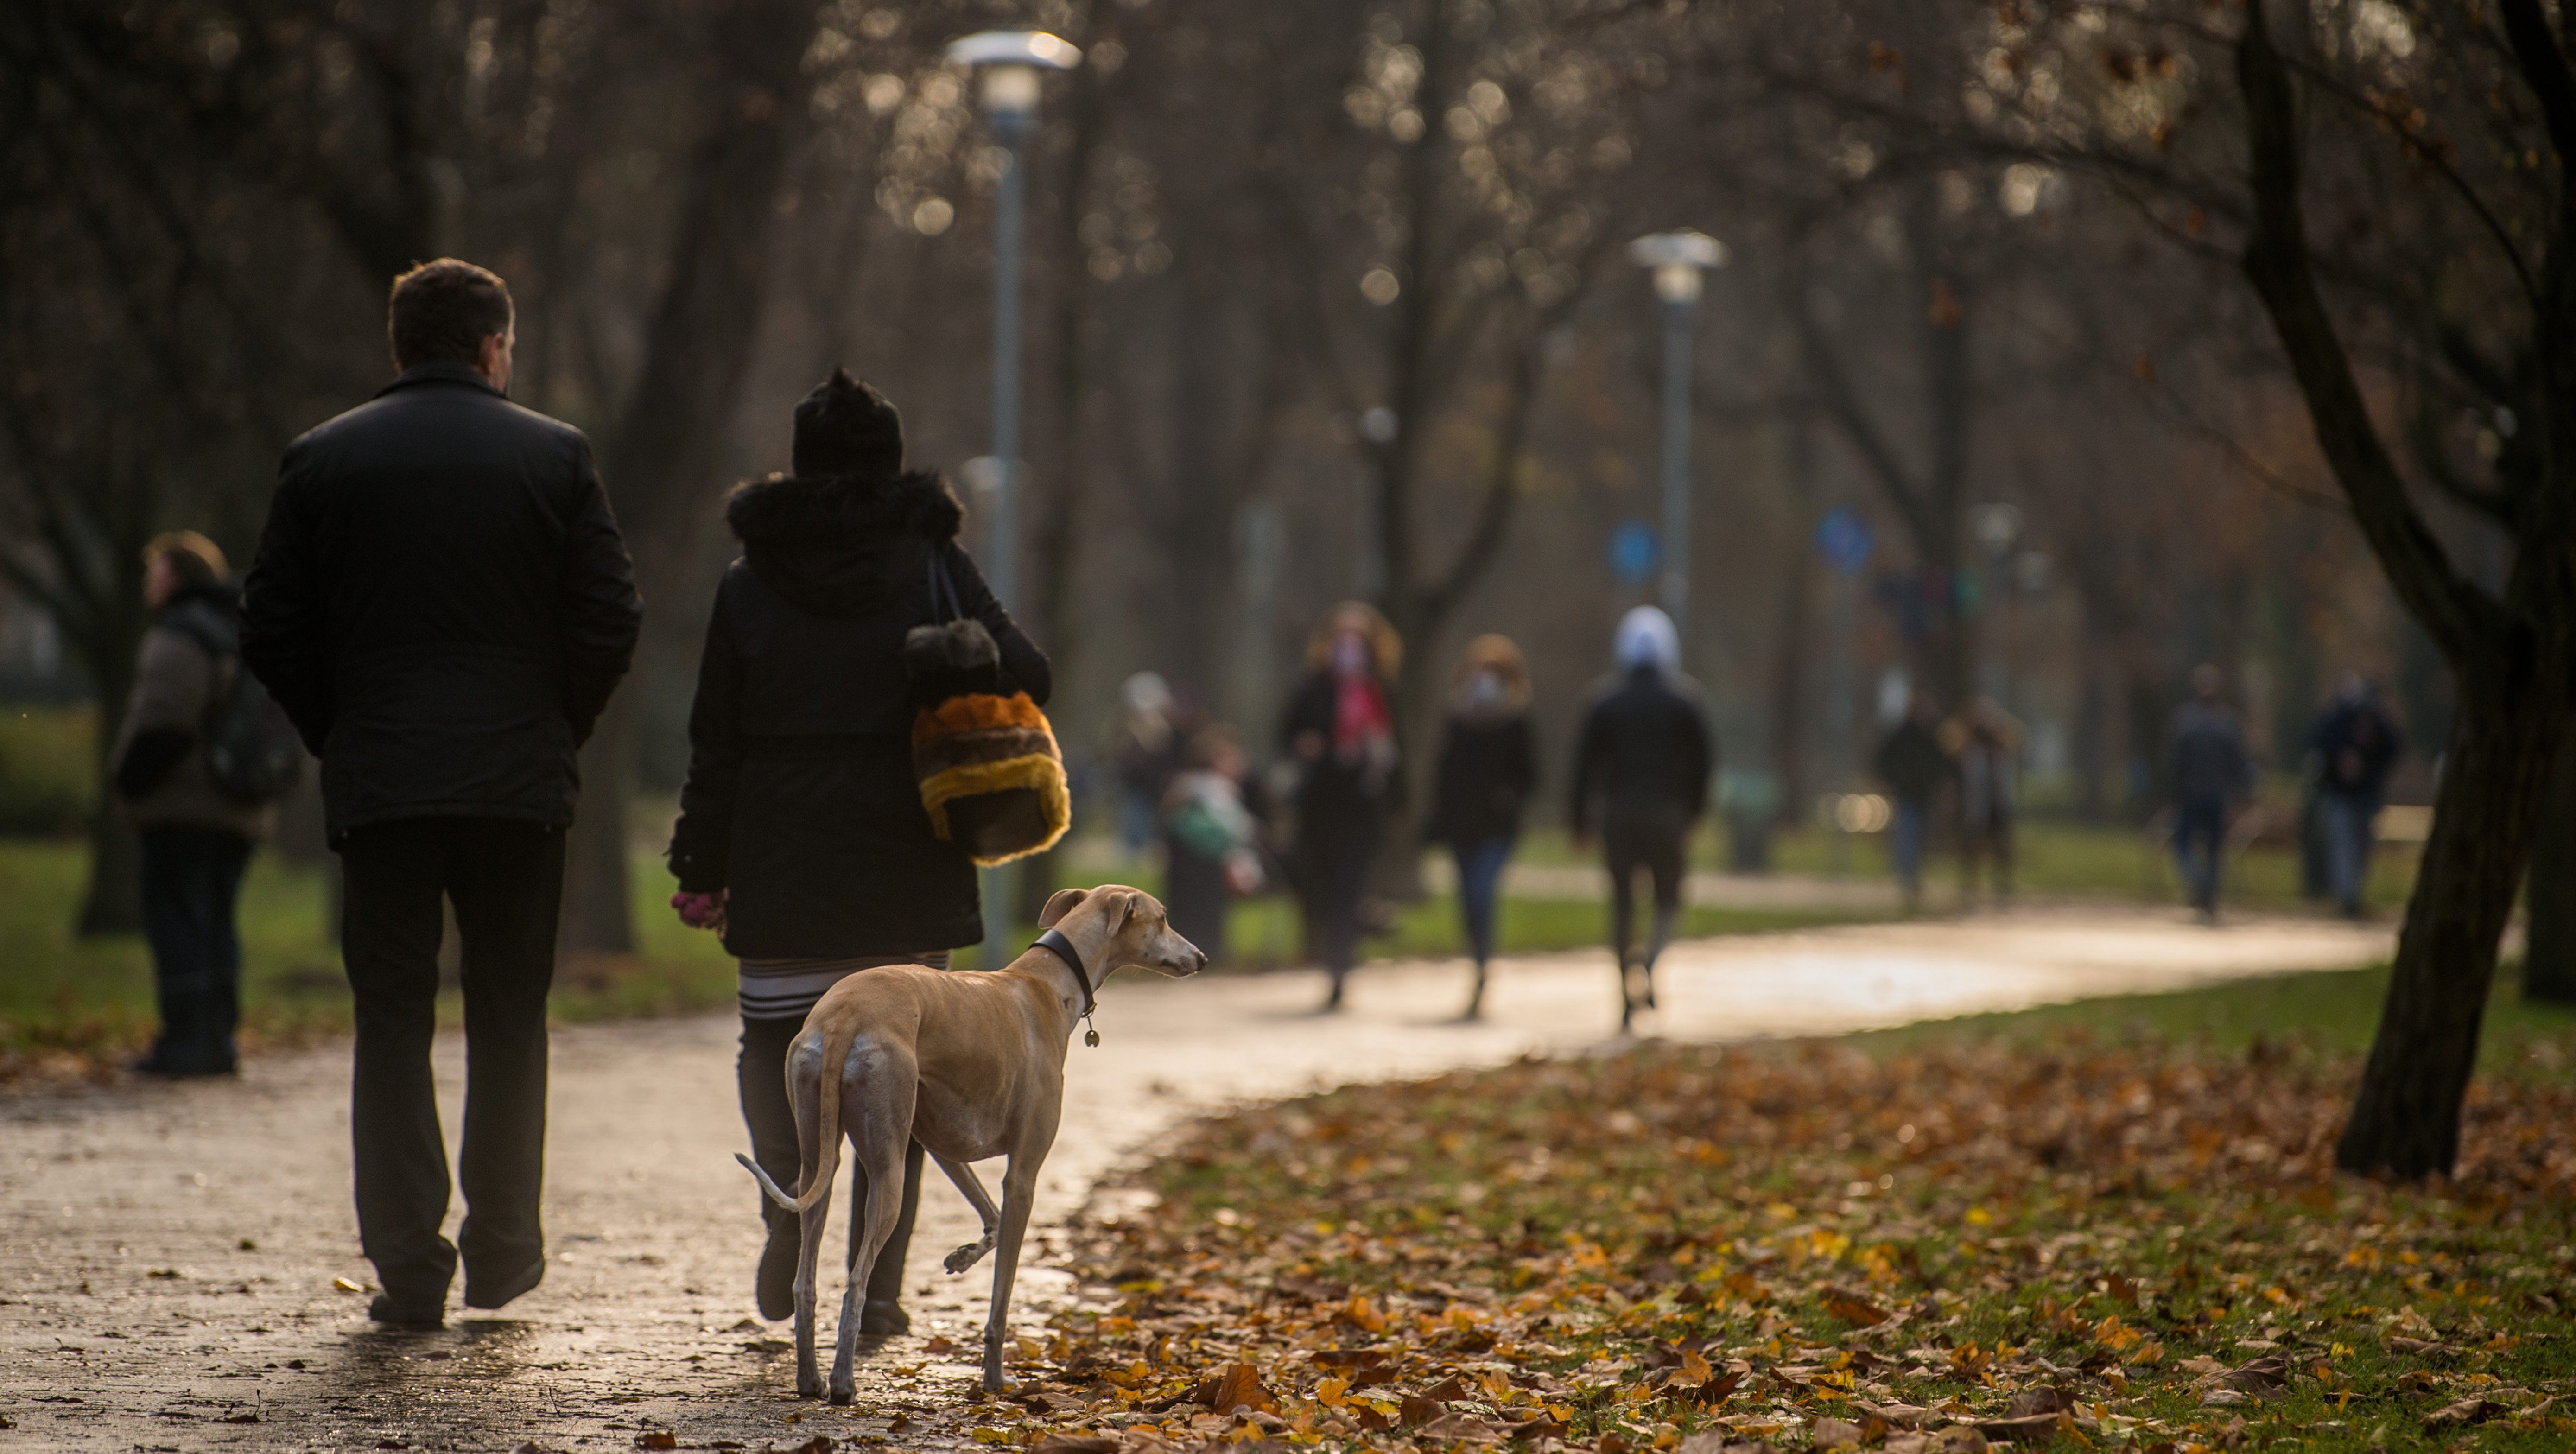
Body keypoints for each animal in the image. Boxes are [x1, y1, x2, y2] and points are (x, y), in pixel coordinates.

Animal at [736, 882, 1195, 1402]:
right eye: (1163, 918)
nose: (1199, 957)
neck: (1047, 980)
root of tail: (843, 1016)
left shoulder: (944, 1144)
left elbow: (991, 1218)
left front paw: (961, 1256)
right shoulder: (1023, 1176)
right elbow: (1002, 1294)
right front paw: (995, 1377)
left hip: (819, 1157)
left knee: (805, 1280)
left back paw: (809, 1377)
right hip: (889, 1173)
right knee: (855, 1281)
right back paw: (842, 1383)